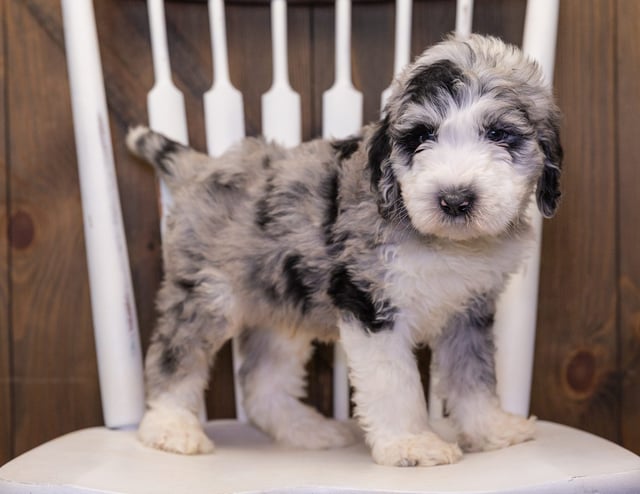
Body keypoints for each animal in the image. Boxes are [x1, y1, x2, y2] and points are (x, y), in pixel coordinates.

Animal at [127, 33, 564, 466]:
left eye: (499, 134)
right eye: (421, 136)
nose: (454, 200)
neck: (445, 243)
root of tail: (201, 168)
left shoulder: (470, 310)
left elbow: (472, 375)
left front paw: (493, 430)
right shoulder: (370, 302)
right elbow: (394, 382)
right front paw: (410, 444)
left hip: (282, 303)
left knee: (261, 383)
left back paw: (307, 431)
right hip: (206, 294)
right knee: (174, 357)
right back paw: (170, 428)